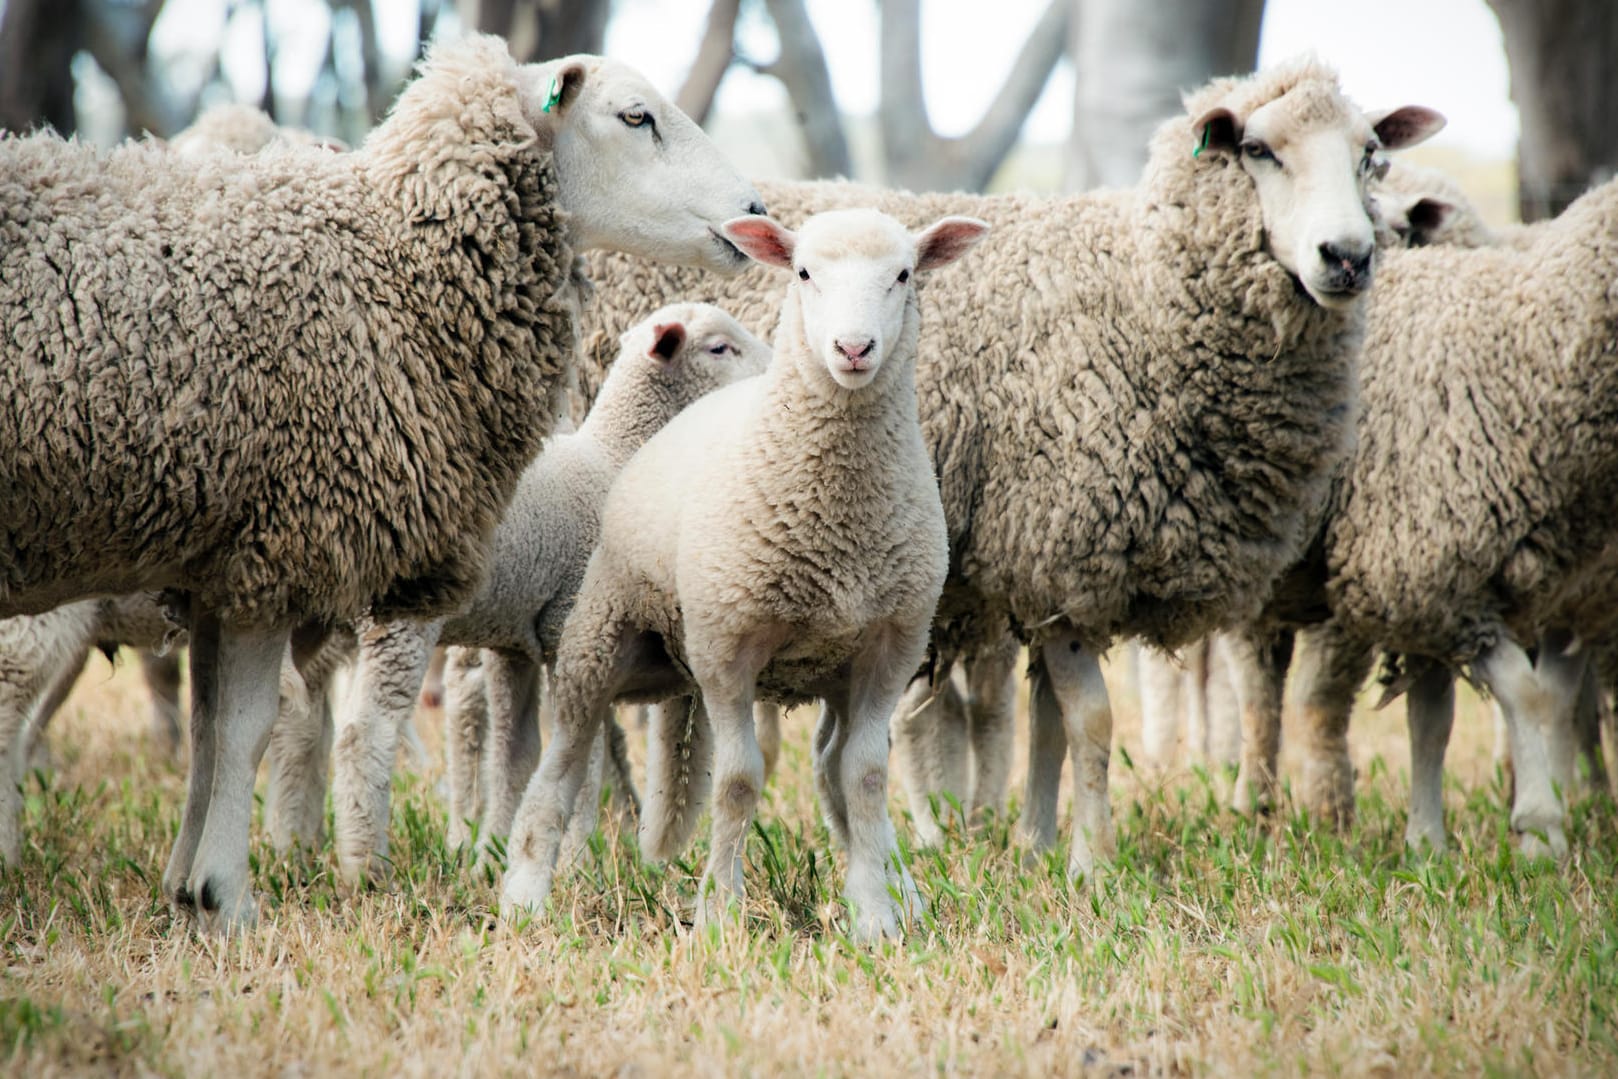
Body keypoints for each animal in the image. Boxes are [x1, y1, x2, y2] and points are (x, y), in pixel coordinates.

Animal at [0, 33, 763, 931]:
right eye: (635, 116)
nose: (754, 211)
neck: (394, 264)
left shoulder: (219, 567)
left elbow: (209, 730)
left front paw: (184, 888)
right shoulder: (282, 542)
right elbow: (249, 727)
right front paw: (227, 897)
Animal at [498, 208, 990, 938]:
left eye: (904, 274)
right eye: (804, 272)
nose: (853, 349)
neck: (840, 510)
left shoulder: (890, 646)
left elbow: (866, 776)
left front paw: (876, 913)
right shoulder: (726, 646)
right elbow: (737, 783)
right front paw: (717, 914)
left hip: (828, 669)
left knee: (832, 765)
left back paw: (895, 882)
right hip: (603, 631)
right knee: (563, 755)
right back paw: (525, 891)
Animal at [569, 59, 1443, 880]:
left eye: (1371, 157)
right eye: (1260, 151)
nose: (1347, 257)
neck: (1142, 294)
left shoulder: (1046, 574)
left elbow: (1048, 721)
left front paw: (1038, 841)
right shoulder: (1061, 546)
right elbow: (1091, 721)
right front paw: (1092, 862)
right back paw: (592, 825)